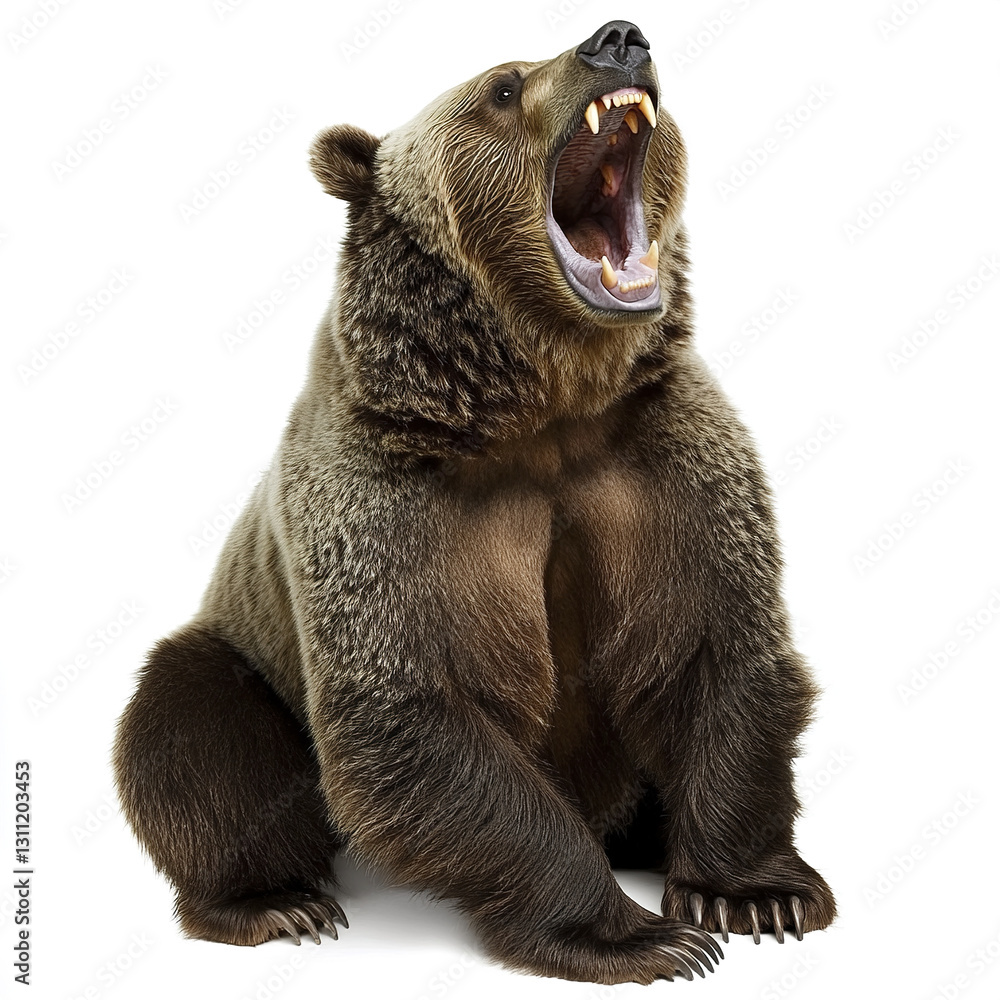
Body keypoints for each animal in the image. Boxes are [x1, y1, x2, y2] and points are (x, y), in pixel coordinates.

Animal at [112, 20, 836, 985]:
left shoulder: (664, 463)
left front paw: (753, 896)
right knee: (191, 729)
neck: (545, 408)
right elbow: (419, 710)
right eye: (501, 87)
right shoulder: (394, 505)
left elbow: (716, 649)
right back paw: (274, 902)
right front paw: (641, 935)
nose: (620, 39)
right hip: (245, 653)